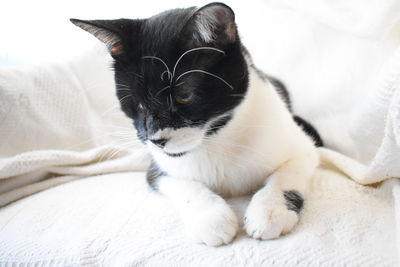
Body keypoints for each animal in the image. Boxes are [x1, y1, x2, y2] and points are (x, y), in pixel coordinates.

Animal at [71, 2, 322, 248]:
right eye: (138, 104)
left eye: (184, 97)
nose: (156, 139)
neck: (216, 140)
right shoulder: (157, 169)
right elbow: (184, 185)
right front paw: (212, 219)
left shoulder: (303, 150)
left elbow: (287, 173)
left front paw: (270, 210)